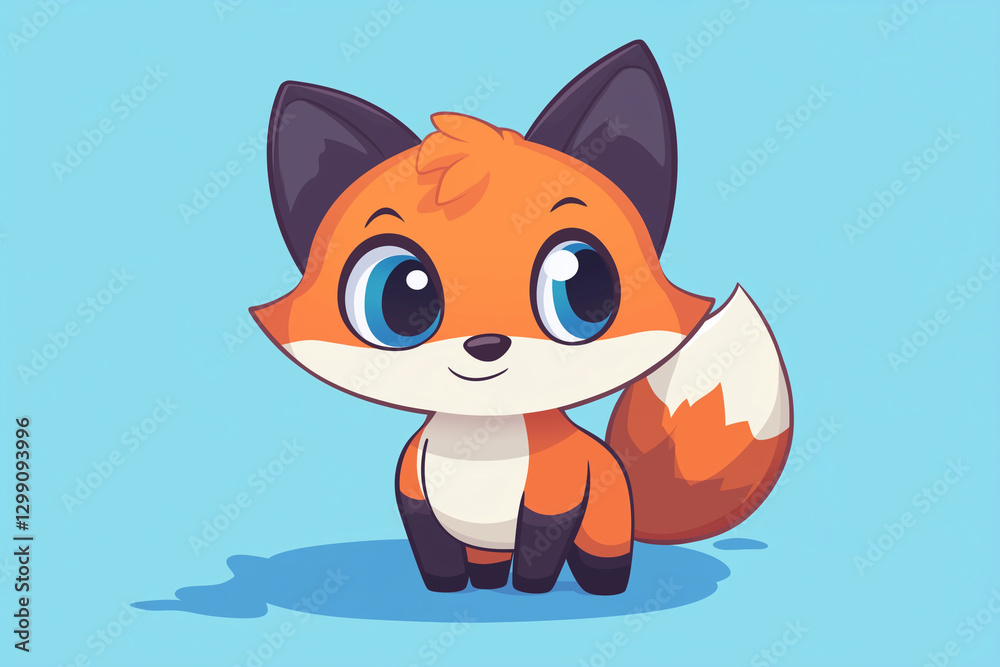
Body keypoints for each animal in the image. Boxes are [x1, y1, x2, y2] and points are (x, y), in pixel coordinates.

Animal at [251, 41, 792, 596]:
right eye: (399, 293)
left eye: (584, 282)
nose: (486, 344)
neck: (484, 436)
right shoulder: (416, 498)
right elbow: (435, 553)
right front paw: (447, 589)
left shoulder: (557, 496)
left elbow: (540, 547)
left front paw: (533, 590)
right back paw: (488, 583)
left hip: (608, 526)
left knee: (602, 557)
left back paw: (600, 585)